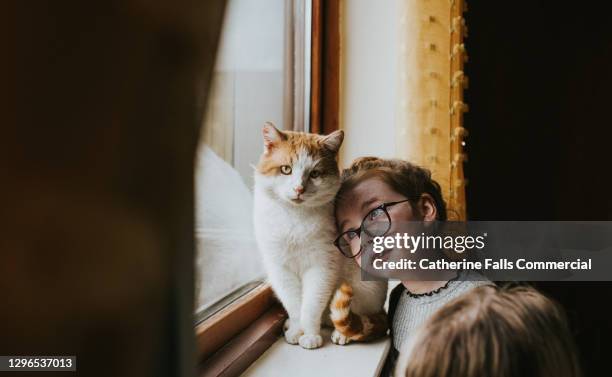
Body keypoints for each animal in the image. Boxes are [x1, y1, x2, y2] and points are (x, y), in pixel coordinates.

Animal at [251, 122, 384, 348]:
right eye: (286, 169)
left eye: (314, 173)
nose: (299, 189)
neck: (294, 219)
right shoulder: (280, 269)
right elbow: (295, 305)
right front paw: (297, 330)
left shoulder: (322, 266)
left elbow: (311, 306)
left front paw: (310, 335)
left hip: (363, 287)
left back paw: (341, 333)